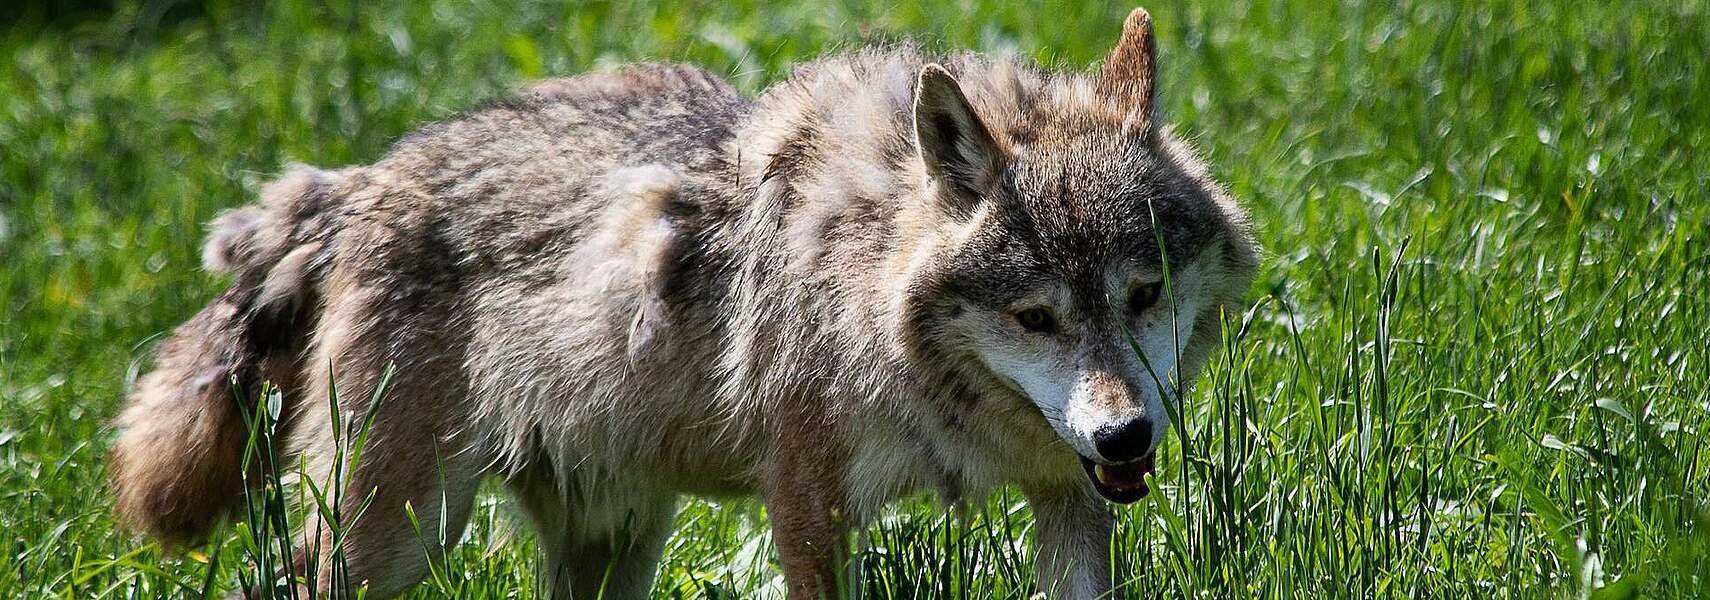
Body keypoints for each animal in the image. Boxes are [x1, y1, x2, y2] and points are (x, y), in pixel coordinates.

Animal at [106, 7, 1258, 598]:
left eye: (1144, 295)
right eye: (1036, 318)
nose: (1125, 435)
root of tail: (352, 183)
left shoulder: (1067, 498)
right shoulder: (806, 503)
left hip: (616, 536)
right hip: (394, 534)